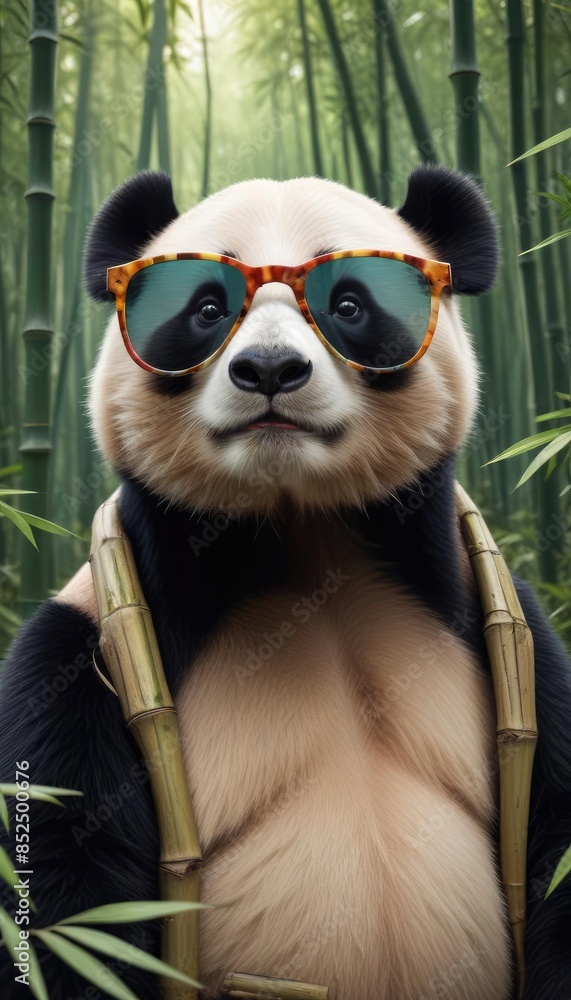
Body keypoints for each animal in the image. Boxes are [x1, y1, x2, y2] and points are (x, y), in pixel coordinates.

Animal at [1, 166, 571, 1000]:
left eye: (349, 304)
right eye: (207, 308)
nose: (269, 369)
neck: (303, 535)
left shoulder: (515, 632)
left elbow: (555, 840)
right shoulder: (79, 653)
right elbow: (71, 901)